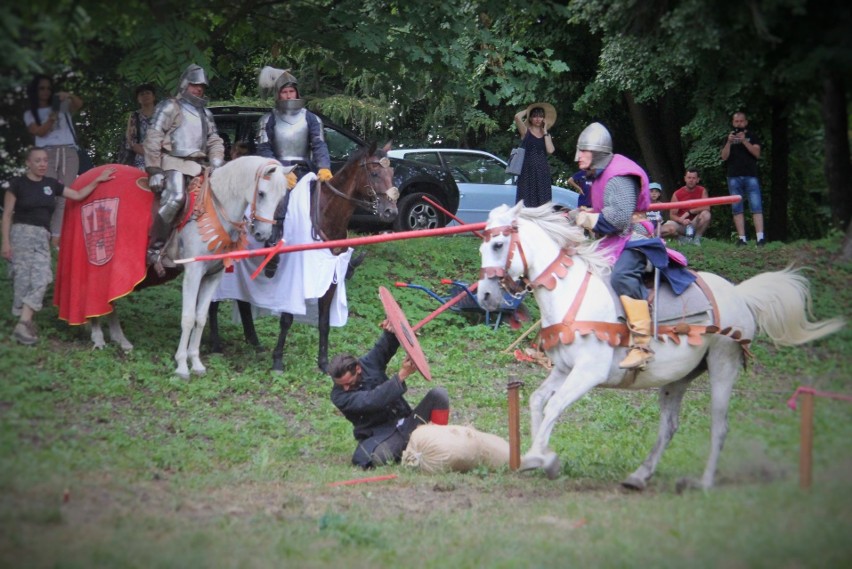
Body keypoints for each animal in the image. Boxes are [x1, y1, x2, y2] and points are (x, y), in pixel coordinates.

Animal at [208, 142, 398, 370]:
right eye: (375, 173)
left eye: (392, 173)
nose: (391, 212)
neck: (324, 215)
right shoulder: (295, 280)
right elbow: (287, 319)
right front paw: (278, 360)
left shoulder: (331, 278)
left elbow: (324, 322)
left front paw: (324, 363)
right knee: (212, 303)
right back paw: (216, 344)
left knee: (243, 302)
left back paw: (254, 341)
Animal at [476, 202, 844, 490]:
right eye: (483, 248)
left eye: (498, 244)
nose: (486, 296)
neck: (571, 293)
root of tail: (739, 294)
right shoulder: (565, 370)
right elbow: (538, 402)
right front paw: (540, 456)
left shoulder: (588, 372)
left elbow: (554, 407)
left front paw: (538, 457)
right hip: (677, 377)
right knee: (669, 427)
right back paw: (639, 476)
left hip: (723, 364)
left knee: (719, 425)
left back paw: (704, 482)